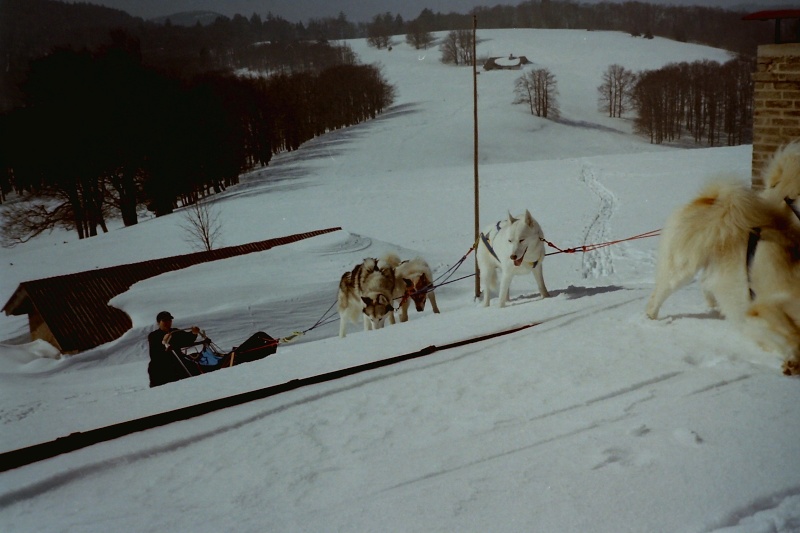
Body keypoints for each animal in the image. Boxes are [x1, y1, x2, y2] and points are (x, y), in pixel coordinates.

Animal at [648, 141, 800, 374]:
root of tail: (712, 198)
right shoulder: (764, 310)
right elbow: (791, 335)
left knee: (706, 282)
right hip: (683, 267)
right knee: (660, 293)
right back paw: (652, 318)